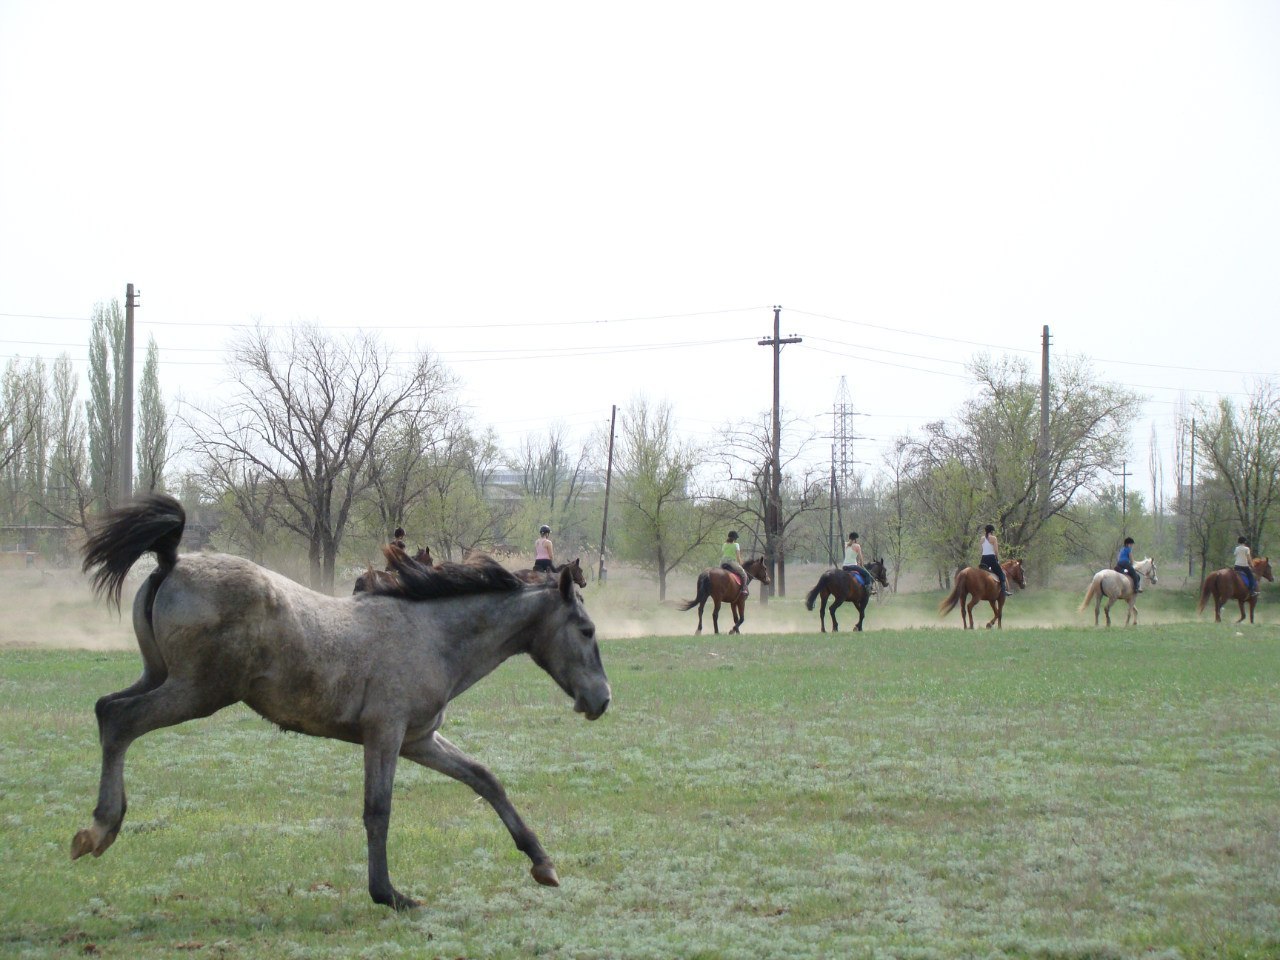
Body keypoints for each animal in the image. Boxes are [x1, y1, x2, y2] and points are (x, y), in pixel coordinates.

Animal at [76, 496, 614, 911]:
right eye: (588, 631)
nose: (602, 700)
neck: (432, 634)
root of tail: (171, 561)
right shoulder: (385, 733)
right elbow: (378, 809)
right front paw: (390, 895)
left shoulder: (419, 739)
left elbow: (485, 779)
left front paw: (543, 863)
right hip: (197, 691)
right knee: (121, 719)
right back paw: (100, 828)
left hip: (161, 677)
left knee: (105, 709)